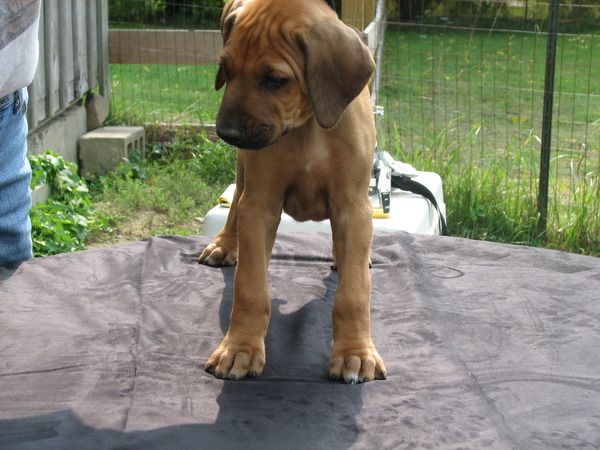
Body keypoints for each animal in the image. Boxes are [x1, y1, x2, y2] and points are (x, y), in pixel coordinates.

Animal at [199, 0, 386, 384]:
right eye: (227, 69)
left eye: (275, 80)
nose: (226, 132)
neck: (307, 125)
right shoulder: (260, 204)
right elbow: (250, 287)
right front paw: (240, 348)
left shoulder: (352, 206)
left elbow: (354, 293)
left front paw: (355, 353)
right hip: (245, 171)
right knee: (235, 205)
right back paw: (224, 244)